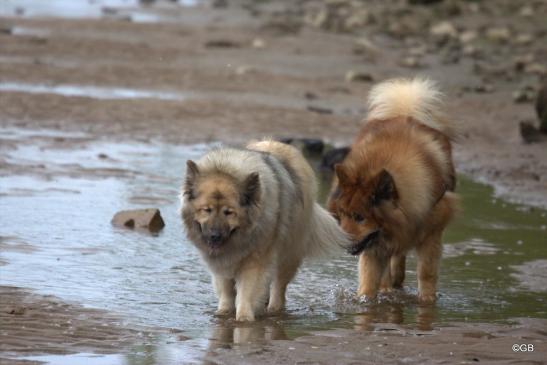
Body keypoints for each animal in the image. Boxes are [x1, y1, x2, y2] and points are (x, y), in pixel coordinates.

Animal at [330, 78, 458, 302]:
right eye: (341, 215)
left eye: (359, 217)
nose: (341, 242)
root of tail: (404, 112)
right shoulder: (375, 246)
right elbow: (369, 282)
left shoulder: (431, 236)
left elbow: (426, 274)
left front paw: (427, 301)